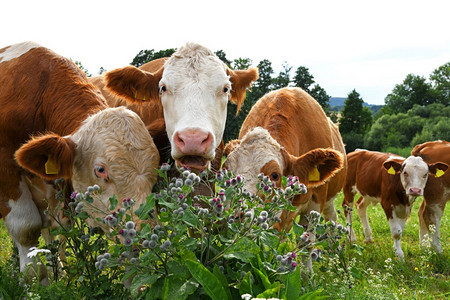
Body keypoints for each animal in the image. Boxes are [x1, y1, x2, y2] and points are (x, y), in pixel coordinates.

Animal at [0, 42, 161, 284]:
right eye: (100, 170)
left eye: (156, 168)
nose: (142, 230)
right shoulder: (6, 170)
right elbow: (26, 231)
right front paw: (38, 286)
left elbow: (59, 227)